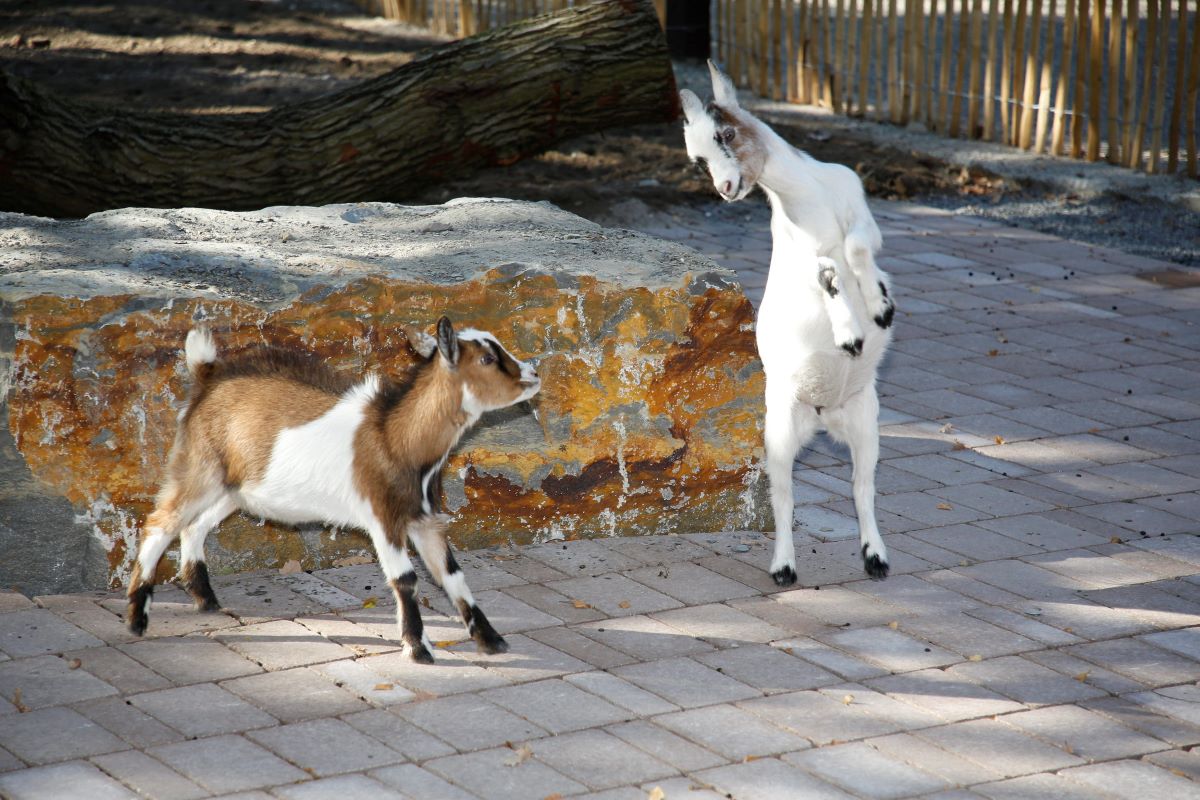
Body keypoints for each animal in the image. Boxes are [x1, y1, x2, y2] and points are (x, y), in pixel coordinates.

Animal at [681, 61, 897, 587]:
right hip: (778, 428)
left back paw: (875, 557)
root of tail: (823, 416)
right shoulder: (808, 259)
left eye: (726, 132)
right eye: (697, 159)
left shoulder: (863, 219)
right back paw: (783, 567)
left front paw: (879, 305)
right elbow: (832, 274)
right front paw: (850, 334)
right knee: (783, 496)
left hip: (866, 422)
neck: (811, 202)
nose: (725, 189)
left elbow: (858, 251)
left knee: (861, 487)